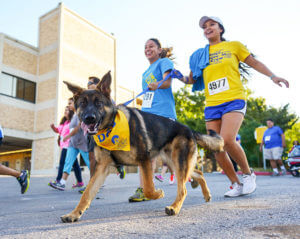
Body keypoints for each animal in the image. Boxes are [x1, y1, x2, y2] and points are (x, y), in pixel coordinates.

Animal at [61, 71, 223, 222]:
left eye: (98, 103)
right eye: (82, 104)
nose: (89, 118)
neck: (111, 127)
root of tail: (189, 129)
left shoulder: (144, 160)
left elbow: (148, 188)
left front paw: (158, 193)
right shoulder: (102, 168)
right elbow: (87, 193)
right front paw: (74, 214)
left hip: (178, 162)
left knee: (183, 189)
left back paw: (175, 207)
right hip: (172, 163)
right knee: (198, 173)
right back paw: (205, 193)